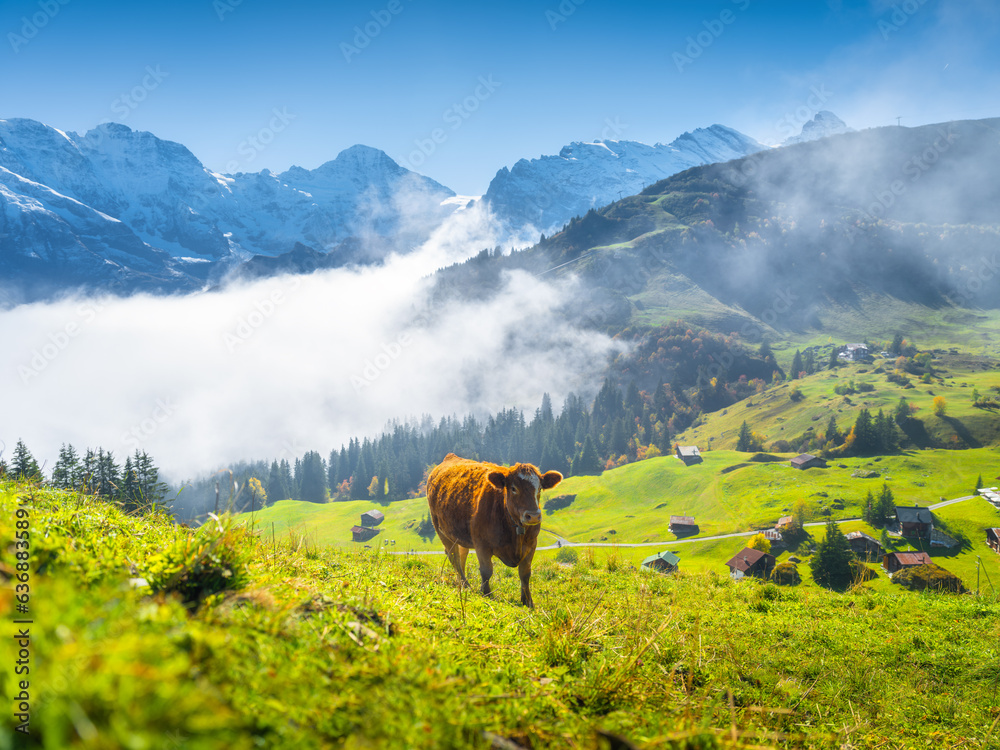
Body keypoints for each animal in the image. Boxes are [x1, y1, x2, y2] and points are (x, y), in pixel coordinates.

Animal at [424, 452, 564, 612]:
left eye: (539, 488)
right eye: (513, 488)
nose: (533, 516)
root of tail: (450, 457)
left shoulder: (531, 544)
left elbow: (525, 573)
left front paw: (528, 602)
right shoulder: (481, 545)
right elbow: (486, 570)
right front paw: (486, 594)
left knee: (461, 555)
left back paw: (461, 582)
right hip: (441, 530)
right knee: (454, 557)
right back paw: (466, 585)